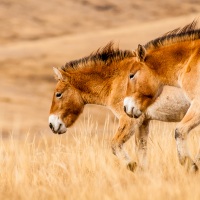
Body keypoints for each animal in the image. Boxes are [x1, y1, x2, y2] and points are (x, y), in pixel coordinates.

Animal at [48, 41, 189, 171]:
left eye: (58, 94)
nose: (51, 124)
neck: (115, 81)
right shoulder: (143, 122)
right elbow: (141, 151)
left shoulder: (129, 120)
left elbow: (115, 145)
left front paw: (132, 165)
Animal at [123, 21, 200, 173]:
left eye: (132, 75)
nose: (126, 107)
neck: (191, 60)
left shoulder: (197, 103)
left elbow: (179, 131)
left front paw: (189, 164)